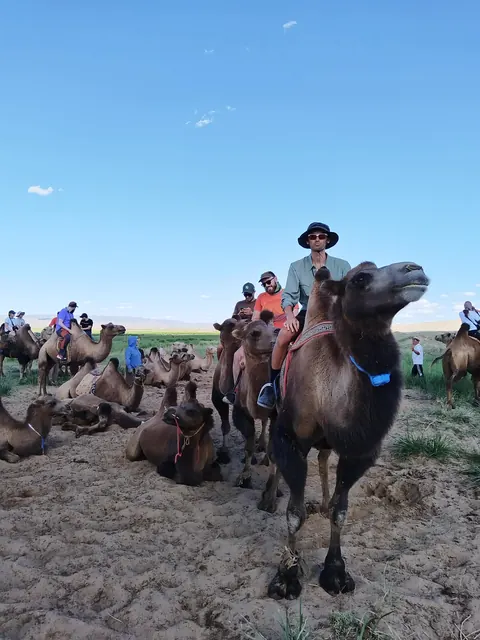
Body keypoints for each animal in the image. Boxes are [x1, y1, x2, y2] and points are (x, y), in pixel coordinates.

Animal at [230, 310, 276, 487]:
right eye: (254, 333)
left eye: (275, 330)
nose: (273, 343)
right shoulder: (241, 411)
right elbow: (248, 444)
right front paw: (244, 475)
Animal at [260, 261, 429, 600]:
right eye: (360, 279)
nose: (414, 269)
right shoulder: (290, 438)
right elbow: (294, 514)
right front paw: (285, 576)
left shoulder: (360, 451)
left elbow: (341, 510)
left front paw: (335, 572)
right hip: (274, 413)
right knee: (273, 455)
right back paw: (269, 498)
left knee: (324, 459)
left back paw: (322, 504)